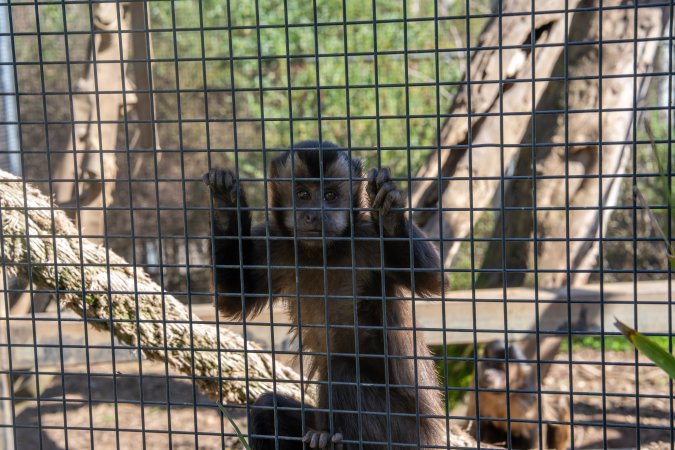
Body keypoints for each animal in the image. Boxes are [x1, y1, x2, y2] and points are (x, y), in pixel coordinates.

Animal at [203, 141, 445, 449]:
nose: (315, 213)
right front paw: (224, 207)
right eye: (304, 194)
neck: (323, 252)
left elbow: (433, 280)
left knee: (342, 371)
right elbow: (233, 300)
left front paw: (390, 215)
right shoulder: (274, 243)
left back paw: (334, 440)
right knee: (268, 410)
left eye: (330, 195)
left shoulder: (366, 239)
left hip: (407, 434)